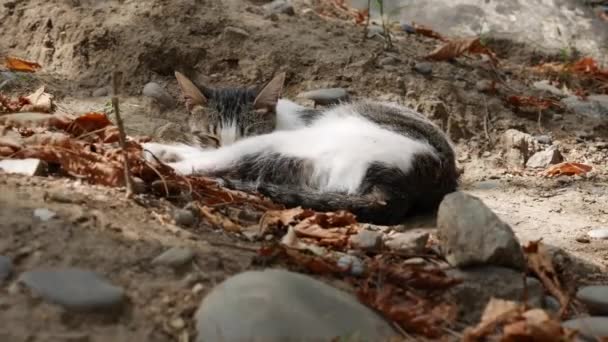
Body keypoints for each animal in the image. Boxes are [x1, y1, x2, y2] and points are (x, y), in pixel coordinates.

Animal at [145, 71, 458, 224]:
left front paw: (159, 150)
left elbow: (205, 156)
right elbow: (198, 149)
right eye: (210, 136)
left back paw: (153, 164)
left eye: (246, 132)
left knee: (211, 166)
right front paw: (162, 146)